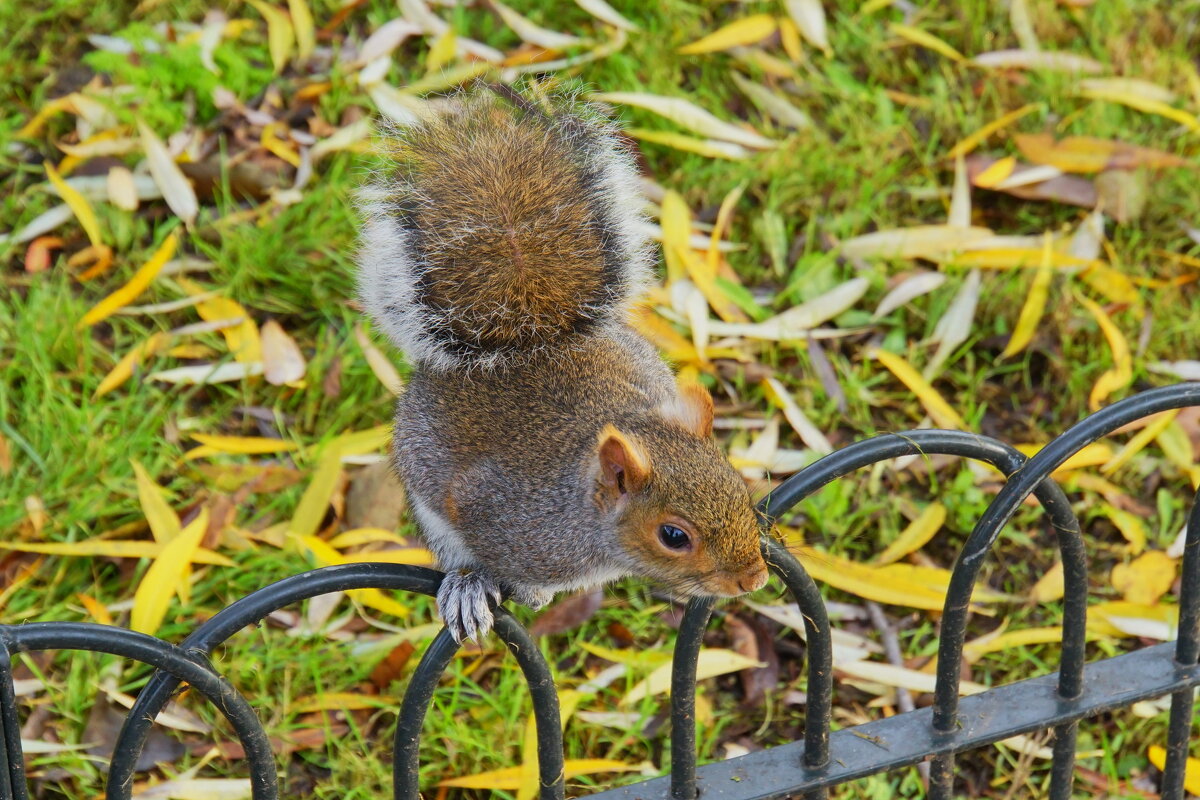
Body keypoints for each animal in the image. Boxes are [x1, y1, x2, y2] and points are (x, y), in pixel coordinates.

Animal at [355, 84, 768, 642]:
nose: (754, 579)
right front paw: (508, 584)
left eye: (739, 488)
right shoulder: (496, 512)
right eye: (673, 535)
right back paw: (465, 586)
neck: (584, 515)